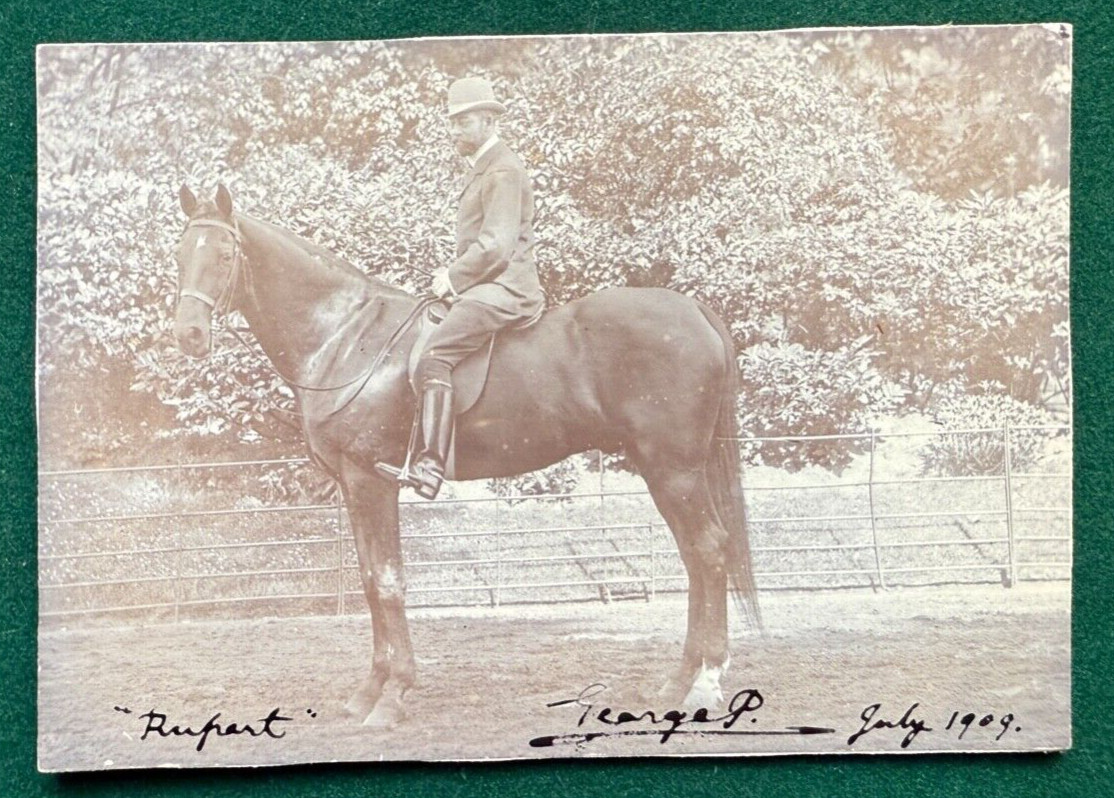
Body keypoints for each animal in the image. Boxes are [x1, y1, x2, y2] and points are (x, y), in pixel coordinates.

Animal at [172, 184, 762, 729]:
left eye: (223, 255)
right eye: (181, 253)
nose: (189, 335)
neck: (345, 336)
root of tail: (693, 309)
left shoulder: (370, 480)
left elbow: (388, 581)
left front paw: (392, 696)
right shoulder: (352, 485)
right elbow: (369, 580)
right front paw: (370, 691)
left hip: (673, 471)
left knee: (708, 552)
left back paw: (705, 684)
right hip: (666, 472)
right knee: (695, 560)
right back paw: (677, 683)